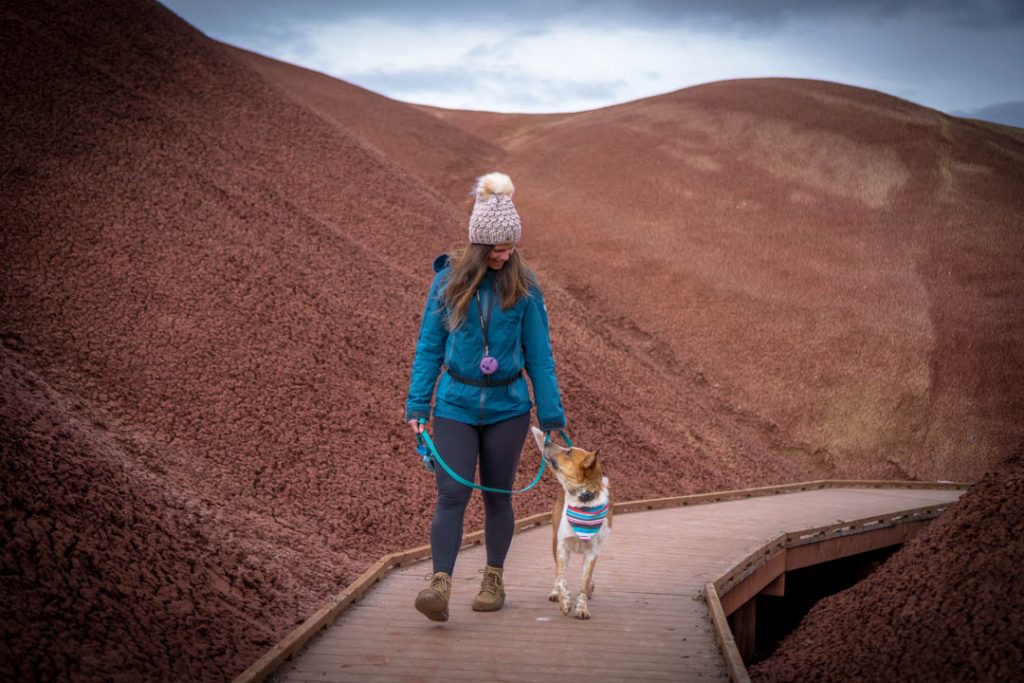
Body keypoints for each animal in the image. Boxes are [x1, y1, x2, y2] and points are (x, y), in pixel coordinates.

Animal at [532, 430, 610, 622]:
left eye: (569, 453)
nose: (547, 442)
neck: (584, 498)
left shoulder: (592, 552)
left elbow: (583, 581)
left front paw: (581, 607)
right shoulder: (562, 547)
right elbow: (561, 578)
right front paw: (565, 601)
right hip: (554, 541)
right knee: (557, 573)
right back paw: (555, 593)